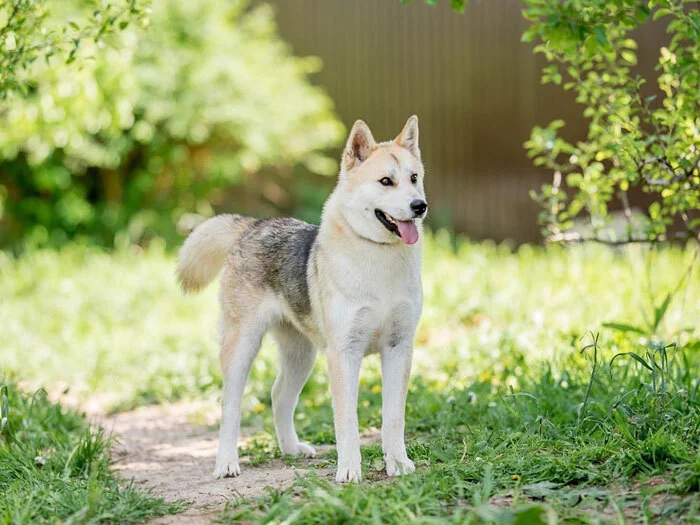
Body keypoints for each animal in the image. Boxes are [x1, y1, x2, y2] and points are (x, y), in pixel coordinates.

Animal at [176, 115, 426, 484]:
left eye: (414, 178)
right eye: (386, 181)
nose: (419, 207)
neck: (377, 258)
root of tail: (252, 225)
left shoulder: (399, 349)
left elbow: (394, 418)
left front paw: (398, 463)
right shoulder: (344, 355)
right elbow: (347, 421)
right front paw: (349, 470)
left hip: (301, 356)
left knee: (279, 396)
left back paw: (291, 448)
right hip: (242, 349)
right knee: (230, 406)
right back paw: (226, 463)